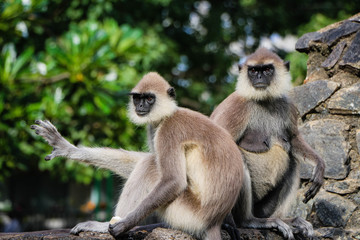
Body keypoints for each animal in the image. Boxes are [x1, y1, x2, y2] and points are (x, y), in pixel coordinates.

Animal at [31, 72, 245, 240]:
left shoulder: (169, 130)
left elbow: (173, 180)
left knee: (150, 166)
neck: (167, 115)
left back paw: (106, 226)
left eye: (149, 98)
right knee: (148, 162)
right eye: (138, 98)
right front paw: (67, 148)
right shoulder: (154, 127)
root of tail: (213, 222)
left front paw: (122, 225)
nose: (141, 106)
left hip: (188, 214)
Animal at [210, 47, 324, 237]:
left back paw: (286, 220)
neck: (264, 100)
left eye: (267, 69)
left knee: (293, 162)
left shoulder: (287, 105)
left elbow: (293, 139)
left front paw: (319, 164)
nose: (259, 77)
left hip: (263, 208)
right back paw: (247, 221)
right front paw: (226, 224)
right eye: (253, 70)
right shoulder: (236, 106)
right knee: (237, 157)